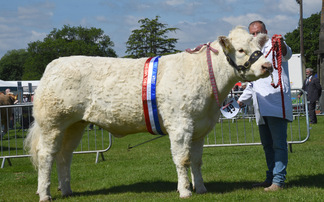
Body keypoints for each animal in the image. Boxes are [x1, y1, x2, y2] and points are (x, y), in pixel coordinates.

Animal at [25, 26, 272, 200]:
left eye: (259, 49)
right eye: (241, 50)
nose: (267, 66)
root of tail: (54, 65)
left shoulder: (200, 128)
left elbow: (197, 160)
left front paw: (201, 188)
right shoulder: (180, 124)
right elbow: (182, 159)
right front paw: (185, 191)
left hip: (75, 124)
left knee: (64, 156)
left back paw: (67, 190)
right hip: (52, 123)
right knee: (46, 155)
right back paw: (45, 194)